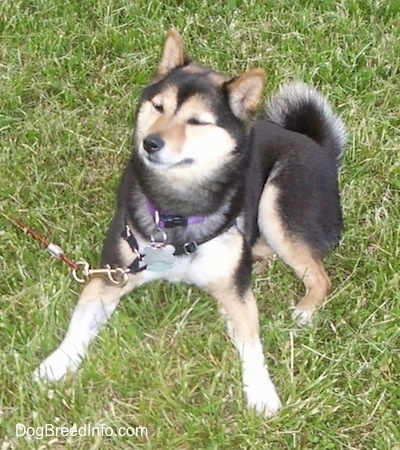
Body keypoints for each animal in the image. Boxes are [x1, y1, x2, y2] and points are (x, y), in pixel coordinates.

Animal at [34, 27, 346, 414]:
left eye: (196, 121)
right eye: (158, 107)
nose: (151, 142)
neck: (177, 210)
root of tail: (321, 150)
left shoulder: (237, 294)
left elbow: (253, 345)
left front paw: (261, 392)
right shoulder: (112, 274)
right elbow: (78, 327)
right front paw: (57, 363)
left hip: (276, 203)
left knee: (319, 276)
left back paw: (303, 310)